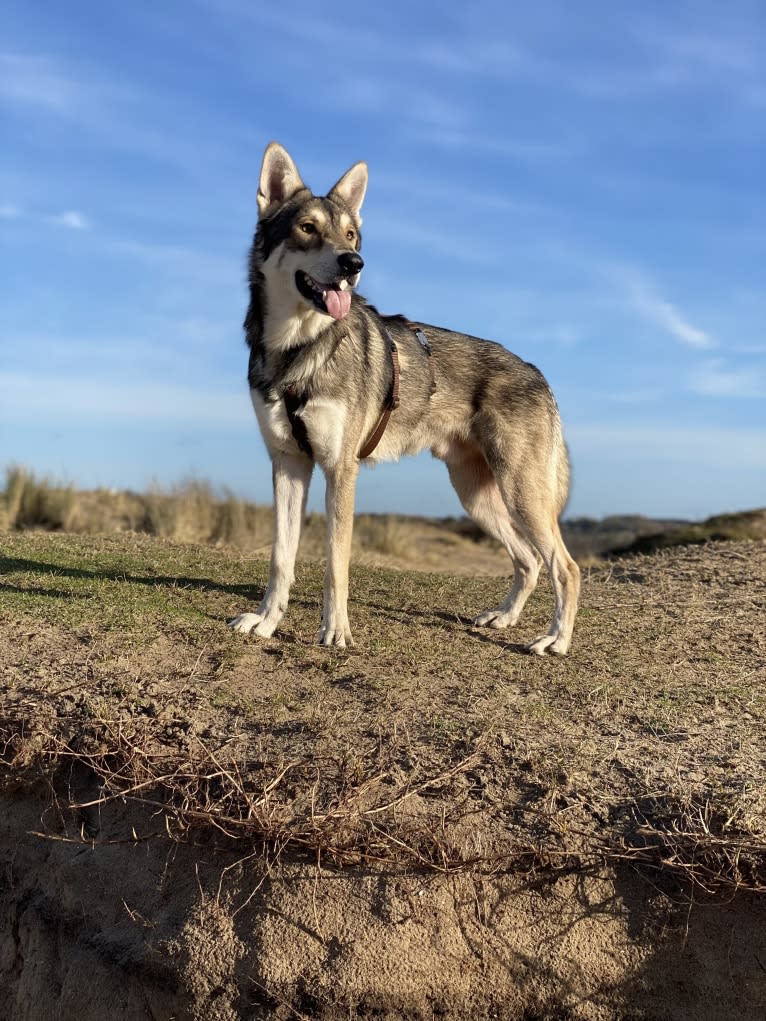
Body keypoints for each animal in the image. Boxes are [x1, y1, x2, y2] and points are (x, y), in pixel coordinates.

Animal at [229, 143, 580, 653]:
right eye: (307, 228)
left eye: (351, 234)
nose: (353, 264)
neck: (296, 348)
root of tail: (538, 373)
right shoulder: (288, 464)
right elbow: (281, 558)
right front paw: (266, 622)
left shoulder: (340, 470)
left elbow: (335, 565)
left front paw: (335, 631)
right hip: (477, 497)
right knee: (530, 561)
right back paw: (504, 617)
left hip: (521, 495)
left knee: (566, 568)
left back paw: (555, 640)